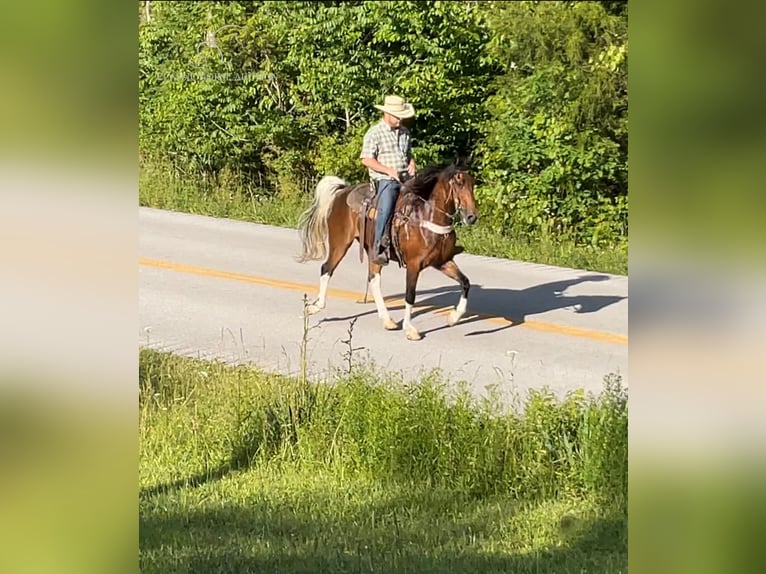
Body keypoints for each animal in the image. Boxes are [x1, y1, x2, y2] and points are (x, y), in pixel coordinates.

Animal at [296, 163, 476, 342]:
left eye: (472, 184)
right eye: (459, 184)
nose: (472, 217)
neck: (426, 218)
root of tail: (342, 191)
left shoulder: (442, 261)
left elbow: (465, 282)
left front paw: (454, 317)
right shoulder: (414, 265)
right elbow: (410, 295)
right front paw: (410, 329)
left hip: (373, 253)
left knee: (373, 279)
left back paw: (388, 320)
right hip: (339, 244)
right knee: (327, 268)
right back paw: (316, 306)